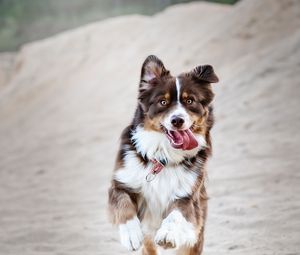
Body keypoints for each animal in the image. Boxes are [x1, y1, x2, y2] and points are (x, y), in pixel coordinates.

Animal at [108, 54, 218, 254]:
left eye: (190, 101)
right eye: (163, 102)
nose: (177, 120)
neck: (163, 157)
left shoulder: (188, 197)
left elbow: (176, 213)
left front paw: (168, 234)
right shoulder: (120, 184)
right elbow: (123, 204)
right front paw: (131, 235)